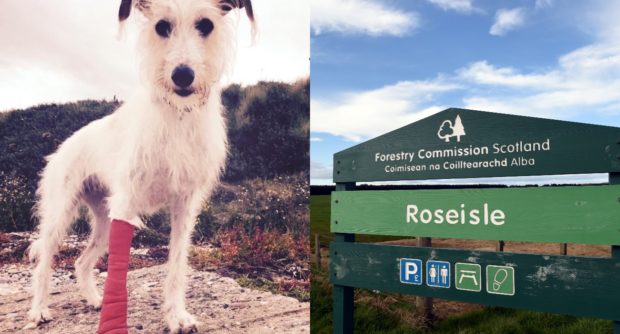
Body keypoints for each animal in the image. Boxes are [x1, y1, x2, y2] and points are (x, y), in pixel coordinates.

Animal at [26, 0, 254, 332]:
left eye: (205, 25)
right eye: (161, 26)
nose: (182, 75)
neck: (177, 116)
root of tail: (62, 147)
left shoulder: (184, 207)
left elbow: (177, 264)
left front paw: (176, 315)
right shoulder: (127, 204)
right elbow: (118, 271)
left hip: (104, 221)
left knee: (81, 261)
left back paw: (93, 299)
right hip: (61, 215)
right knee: (45, 260)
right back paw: (38, 309)